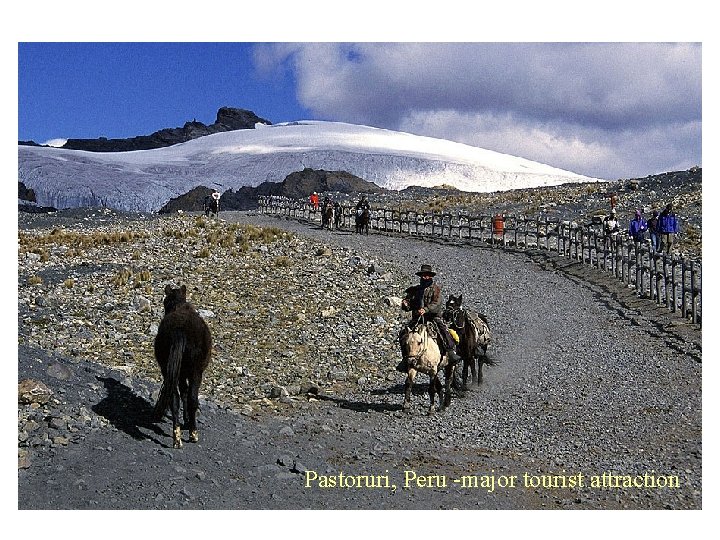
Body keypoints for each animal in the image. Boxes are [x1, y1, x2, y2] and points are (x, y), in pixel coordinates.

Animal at [154, 284, 212, 450]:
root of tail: (179, 330)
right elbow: (187, 395)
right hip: (195, 372)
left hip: (169, 369)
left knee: (174, 399)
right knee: (192, 398)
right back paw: (193, 434)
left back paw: (177, 440)